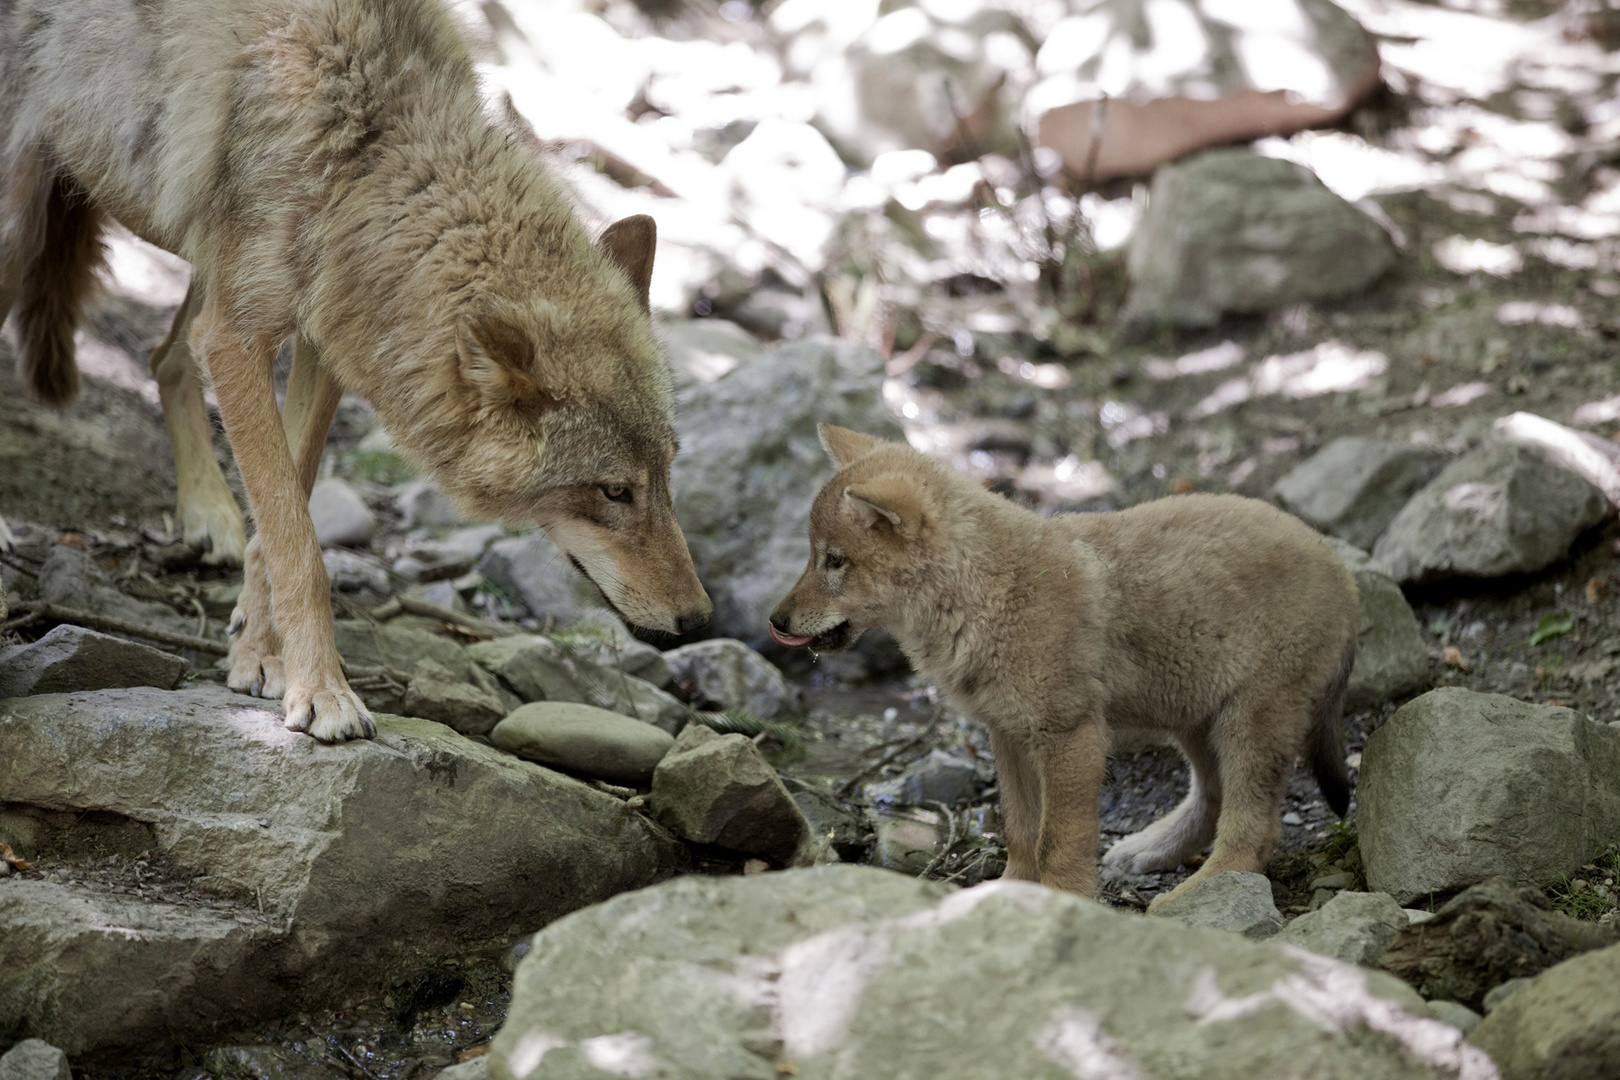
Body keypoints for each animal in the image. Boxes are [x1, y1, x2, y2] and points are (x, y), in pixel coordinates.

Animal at [0, 0, 709, 738]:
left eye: (666, 471)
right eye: (613, 491)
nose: (698, 621)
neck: (363, 154)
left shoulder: (324, 342)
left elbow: (282, 518)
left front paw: (259, 655)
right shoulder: (236, 339)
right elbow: (298, 543)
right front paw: (324, 691)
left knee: (165, 356)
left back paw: (208, 515)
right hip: (20, 238)